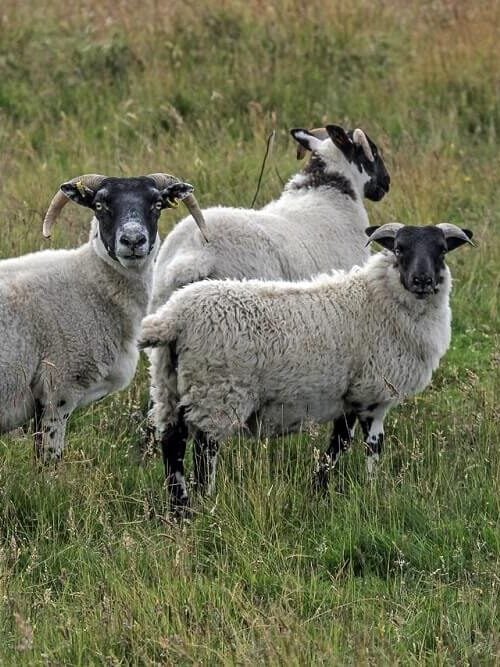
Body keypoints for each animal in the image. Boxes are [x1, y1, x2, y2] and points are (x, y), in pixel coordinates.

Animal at [0, 172, 205, 462]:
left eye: (157, 204)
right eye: (99, 205)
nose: (133, 240)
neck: (90, 282)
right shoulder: (58, 391)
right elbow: (49, 461)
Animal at [139, 223, 474, 513]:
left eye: (442, 250)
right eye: (400, 249)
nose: (422, 281)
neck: (379, 298)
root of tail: (173, 317)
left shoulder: (349, 395)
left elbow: (339, 444)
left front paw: (319, 488)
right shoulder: (373, 394)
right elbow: (373, 446)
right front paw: (373, 490)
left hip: (168, 383)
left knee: (172, 443)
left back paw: (180, 509)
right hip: (218, 391)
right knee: (204, 451)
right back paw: (205, 502)